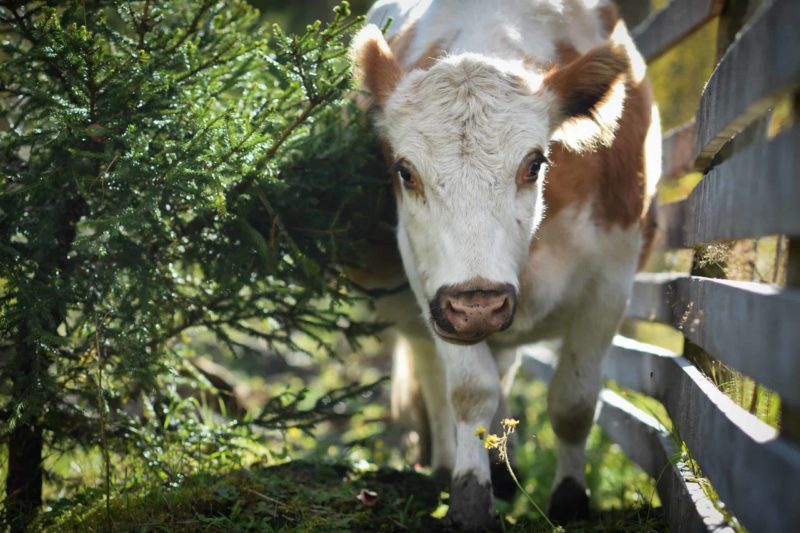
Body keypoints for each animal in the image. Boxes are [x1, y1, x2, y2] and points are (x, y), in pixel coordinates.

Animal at [349, 0, 661, 529]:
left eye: (534, 163)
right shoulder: (435, 291)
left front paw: (570, 499)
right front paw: (470, 496)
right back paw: (448, 466)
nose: (479, 303)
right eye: (405, 171)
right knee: (437, 379)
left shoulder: (610, 284)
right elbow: (468, 392)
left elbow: (574, 402)